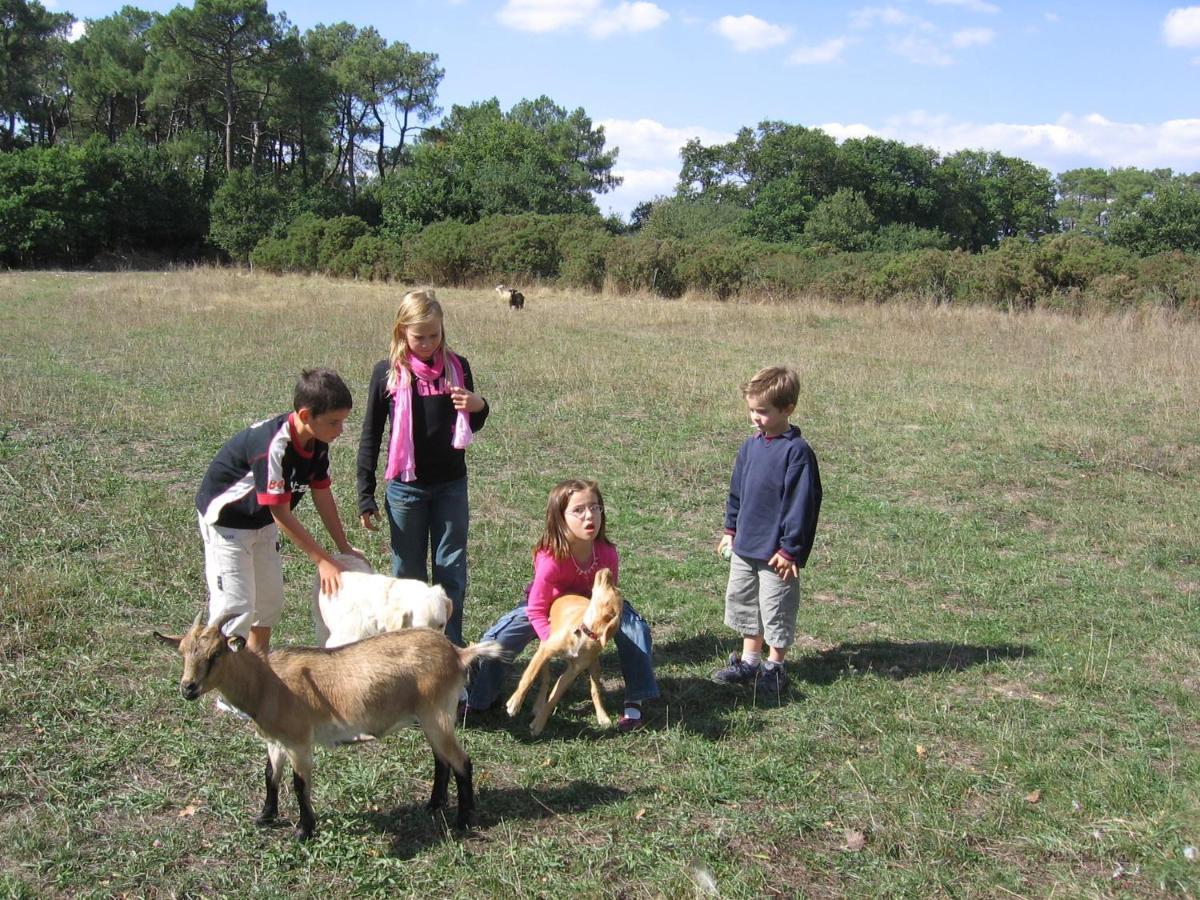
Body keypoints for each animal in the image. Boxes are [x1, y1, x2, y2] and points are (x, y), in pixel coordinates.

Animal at [153, 619, 501, 844]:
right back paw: (434, 805)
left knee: (461, 762)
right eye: (183, 652)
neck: (267, 683)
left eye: (216, 654)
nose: (188, 688)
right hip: (430, 717)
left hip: (436, 713)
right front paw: (265, 817)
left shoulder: (299, 741)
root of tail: (458, 654)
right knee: (441, 759)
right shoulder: (276, 740)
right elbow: (270, 776)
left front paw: (303, 831)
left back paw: (462, 821)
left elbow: (299, 785)